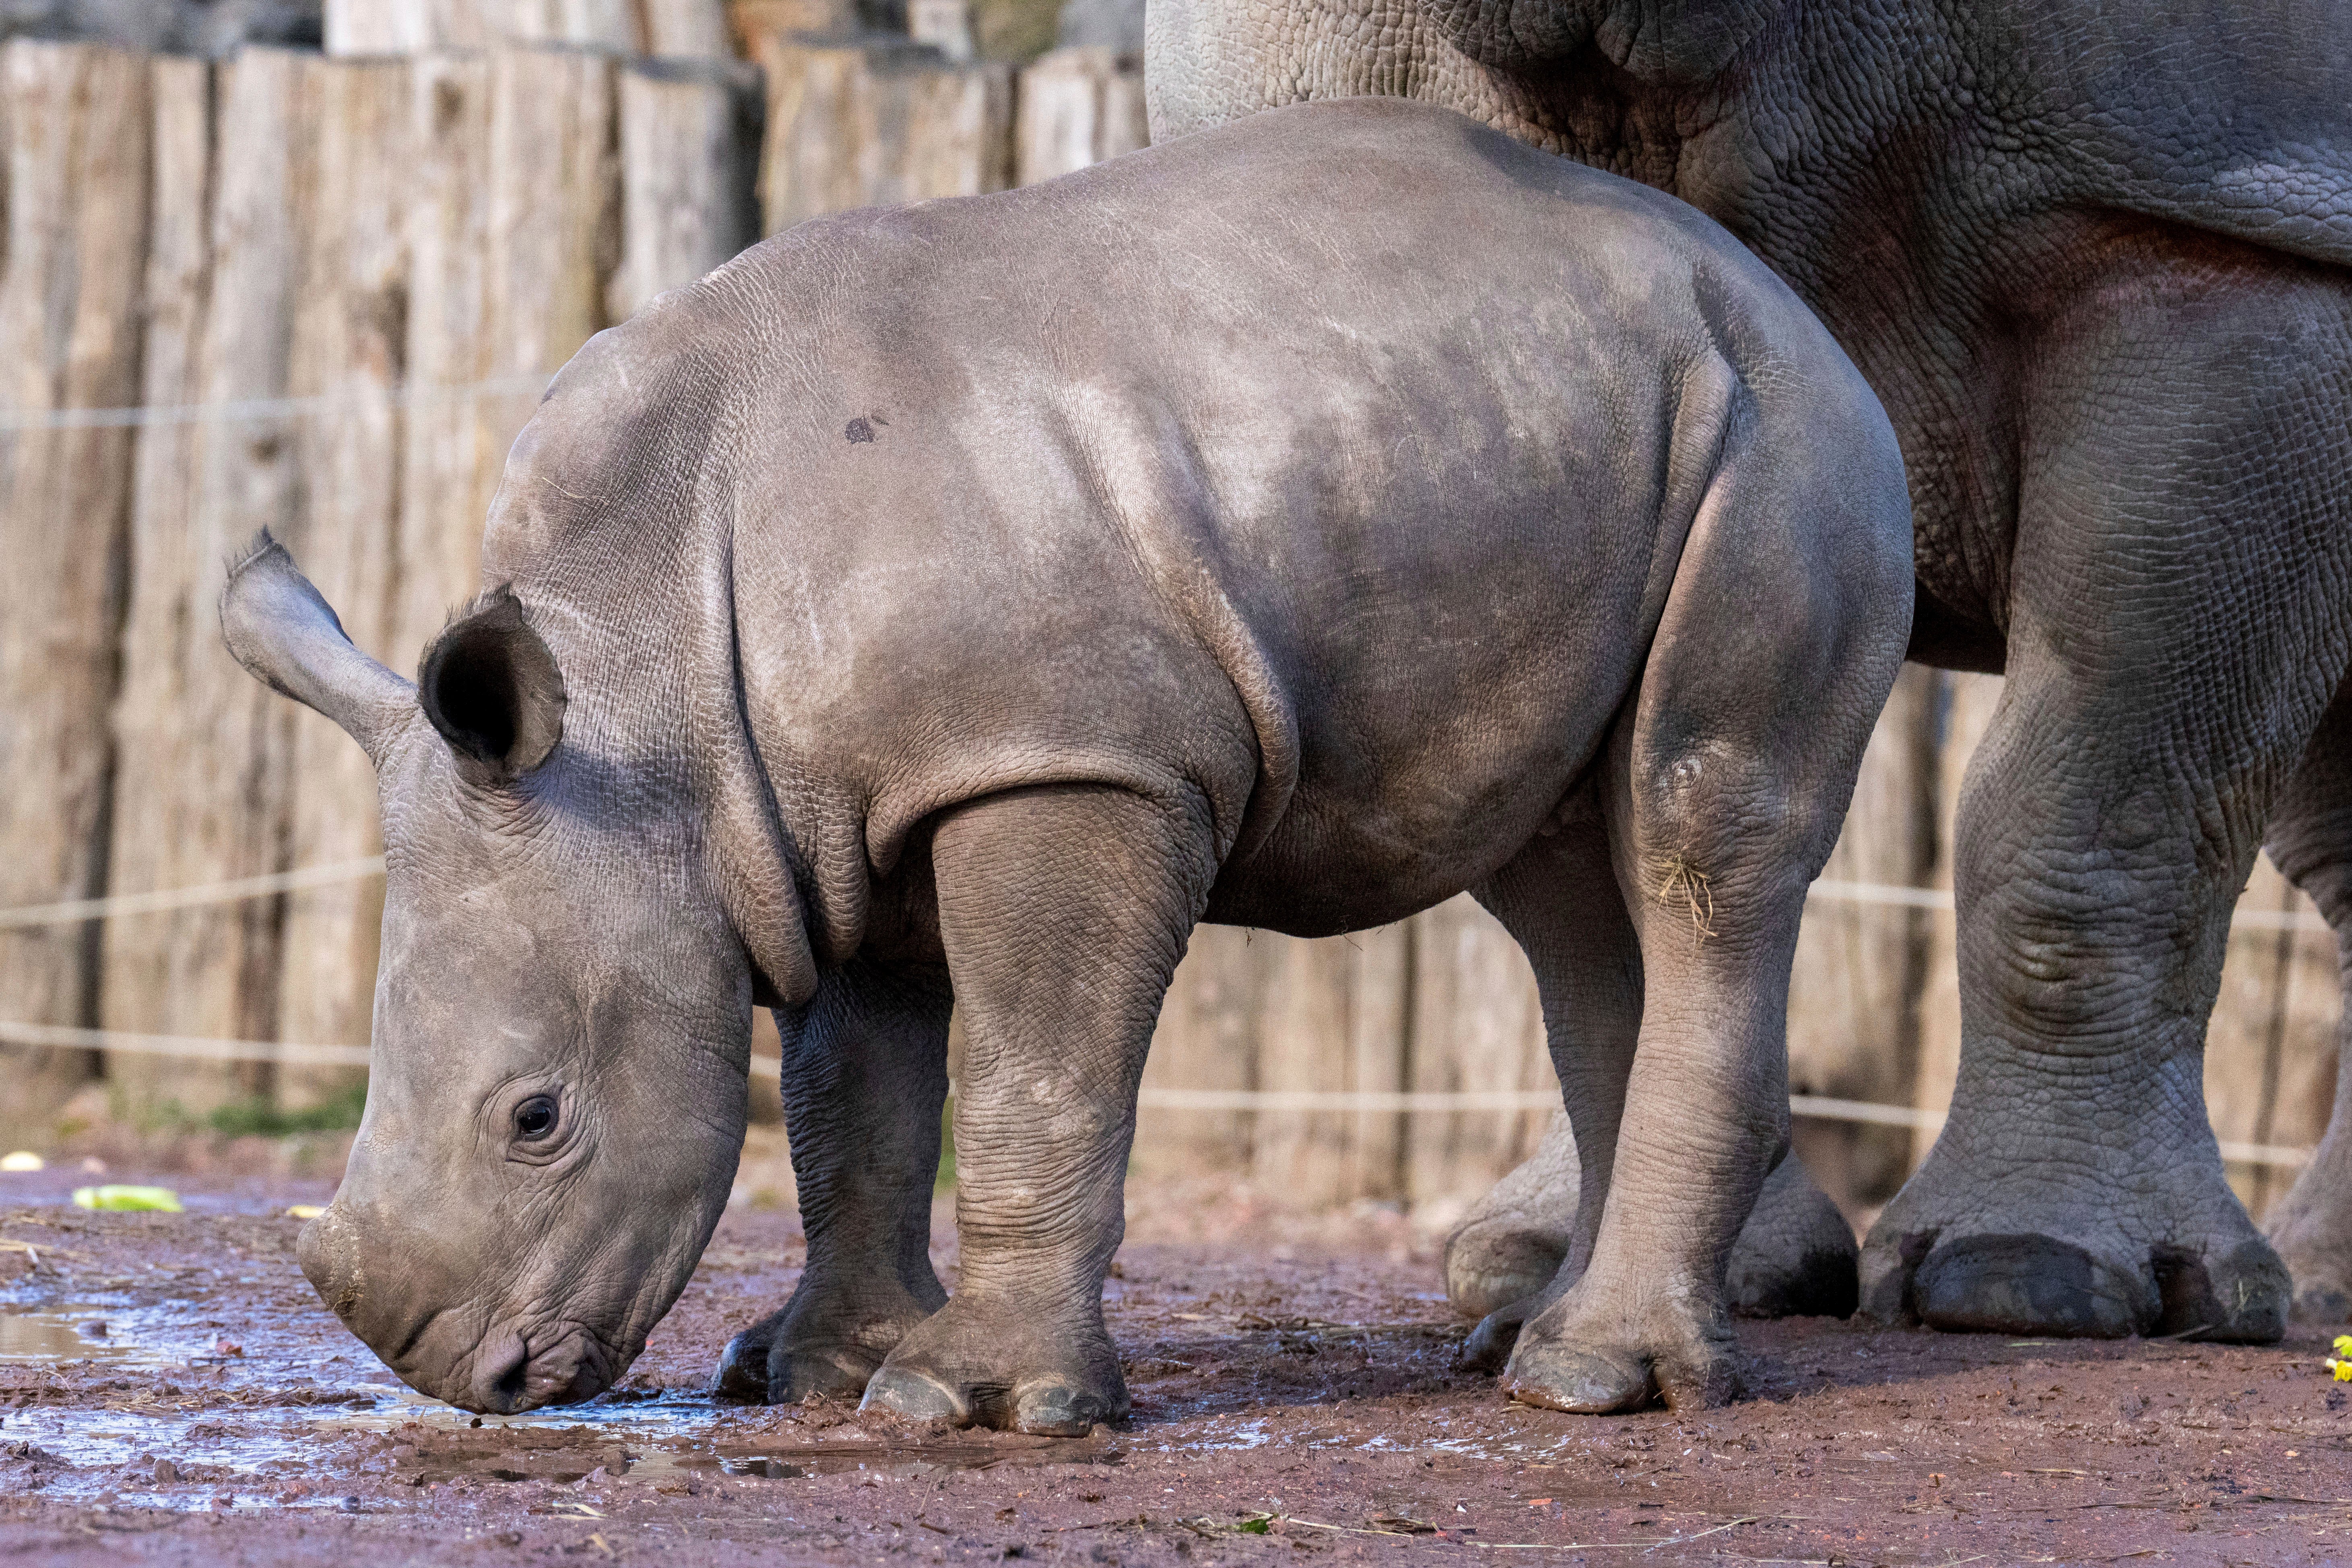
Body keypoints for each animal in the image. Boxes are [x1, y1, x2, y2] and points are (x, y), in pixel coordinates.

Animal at [225, 95, 1910, 1420]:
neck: (643, 691)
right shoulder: (821, 815)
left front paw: (968, 1402)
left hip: (1778, 441)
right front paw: (817, 1373)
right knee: (1567, 883)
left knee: (1695, 828)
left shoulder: (1059, 760)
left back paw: (1590, 1378)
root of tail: (1769, 287)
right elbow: (851, 1102)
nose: (462, 1375)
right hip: (1585, 425)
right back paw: (1530, 1348)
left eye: (536, 1118)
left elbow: (1031, 1069)